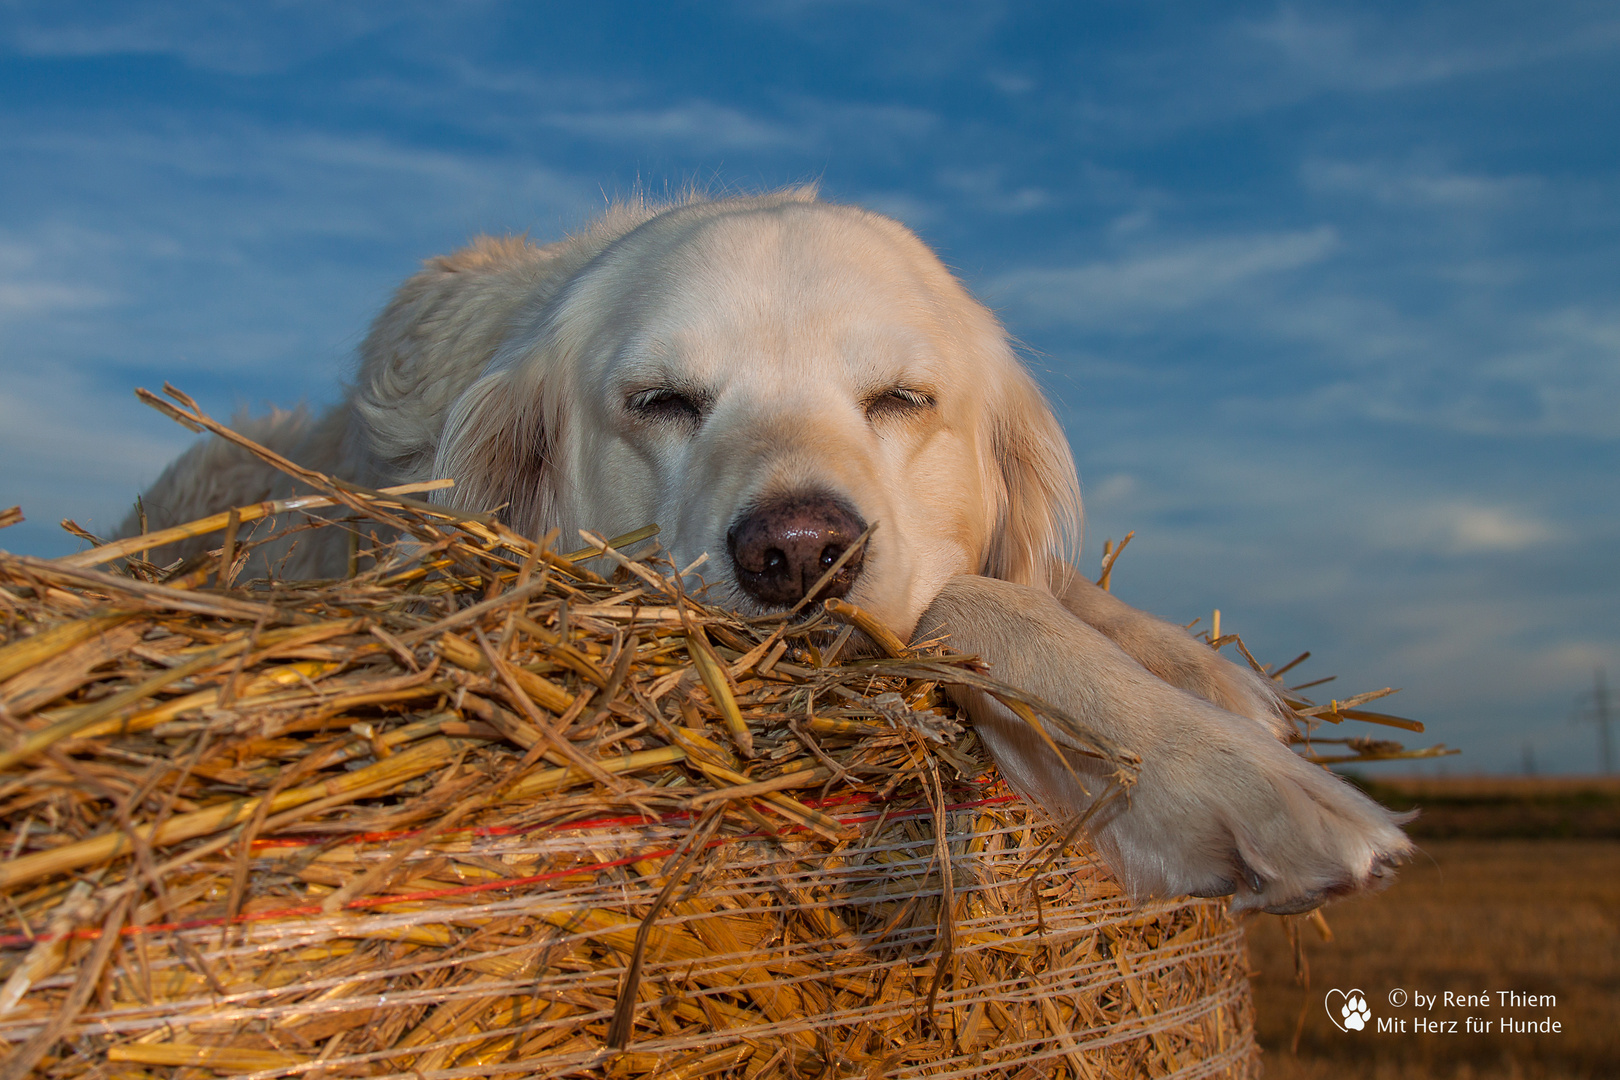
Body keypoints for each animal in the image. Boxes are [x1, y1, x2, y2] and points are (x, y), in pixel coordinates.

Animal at [126, 187, 1412, 913]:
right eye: (660, 401)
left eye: (900, 398)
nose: (798, 553)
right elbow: (986, 607)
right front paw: (1232, 779)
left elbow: (1040, 588)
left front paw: (1199, 674)